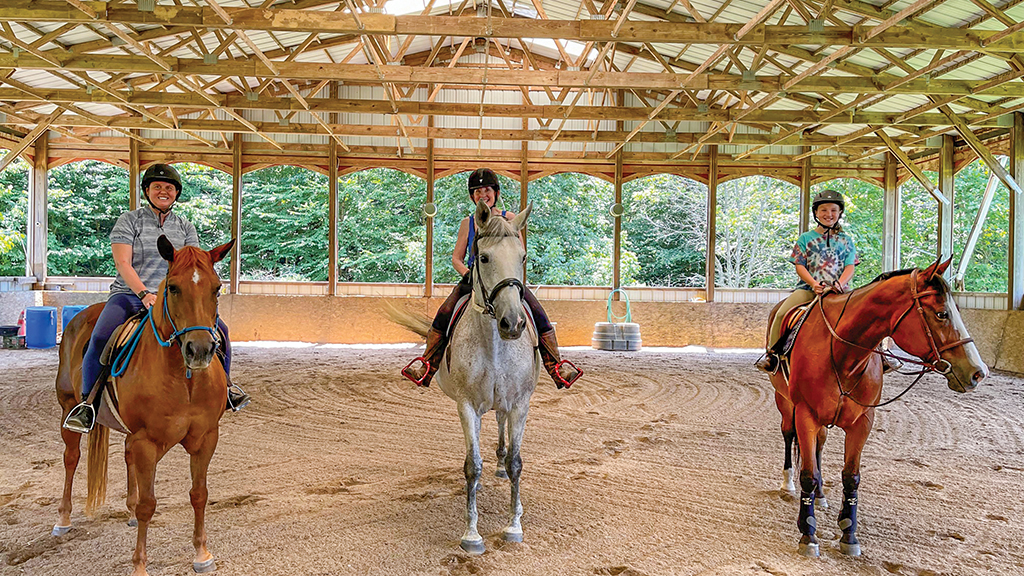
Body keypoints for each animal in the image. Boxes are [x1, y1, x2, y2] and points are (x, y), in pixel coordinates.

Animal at [54, 234, 235, 573]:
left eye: (217, 288)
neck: (184, 378)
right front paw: (139, 564)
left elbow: (199, 494)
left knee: (125, 458)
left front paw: (201, 554)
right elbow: (147, 504)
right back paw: (63, 519)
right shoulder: (147, 442)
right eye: (173, 287)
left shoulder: (206, 437)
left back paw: (124, 512)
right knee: (71, 459)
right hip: (67, 409)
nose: (200, 350)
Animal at [387, 199, 540, 553]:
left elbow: (516, 463)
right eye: (483, 258)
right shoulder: (467, 405)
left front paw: (514, 525)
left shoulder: (519, 404)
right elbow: (472, 465)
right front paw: (472, 534)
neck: (496, 345)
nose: (513, 323)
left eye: (523, 257)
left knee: (501, 429)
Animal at [765, 259, 987, 557]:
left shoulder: (863, 421)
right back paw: (787, 483)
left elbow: (851, 477)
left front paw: (849, 533)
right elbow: (807, 475)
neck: (843, 354)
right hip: (785, 402)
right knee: (789, 435)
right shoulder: (805, 414)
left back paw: (821, 496)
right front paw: (808, 534)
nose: (978, 372)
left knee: (820, 445)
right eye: (942, 314)